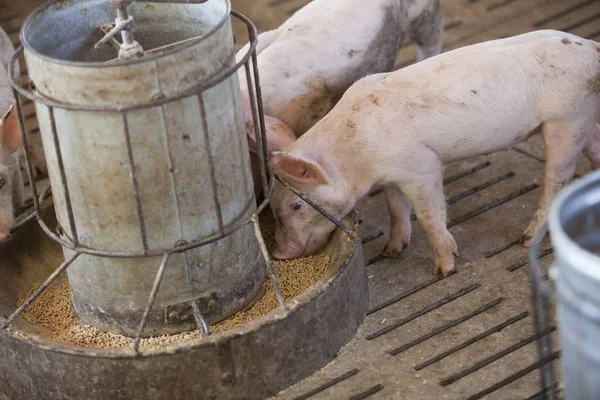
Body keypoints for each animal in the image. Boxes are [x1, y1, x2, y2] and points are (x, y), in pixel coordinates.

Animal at [270, 29, 600, 276]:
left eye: (296, 206)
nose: (278, 253)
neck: (355, 151)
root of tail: (592, 48)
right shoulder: (392, 175)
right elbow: (395, 208)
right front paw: (391, 251)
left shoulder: (421, 168)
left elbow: (429, 215)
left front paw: (444, 270)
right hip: (584, 118)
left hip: (566, 119)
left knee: (557, 180)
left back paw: (526, 240)